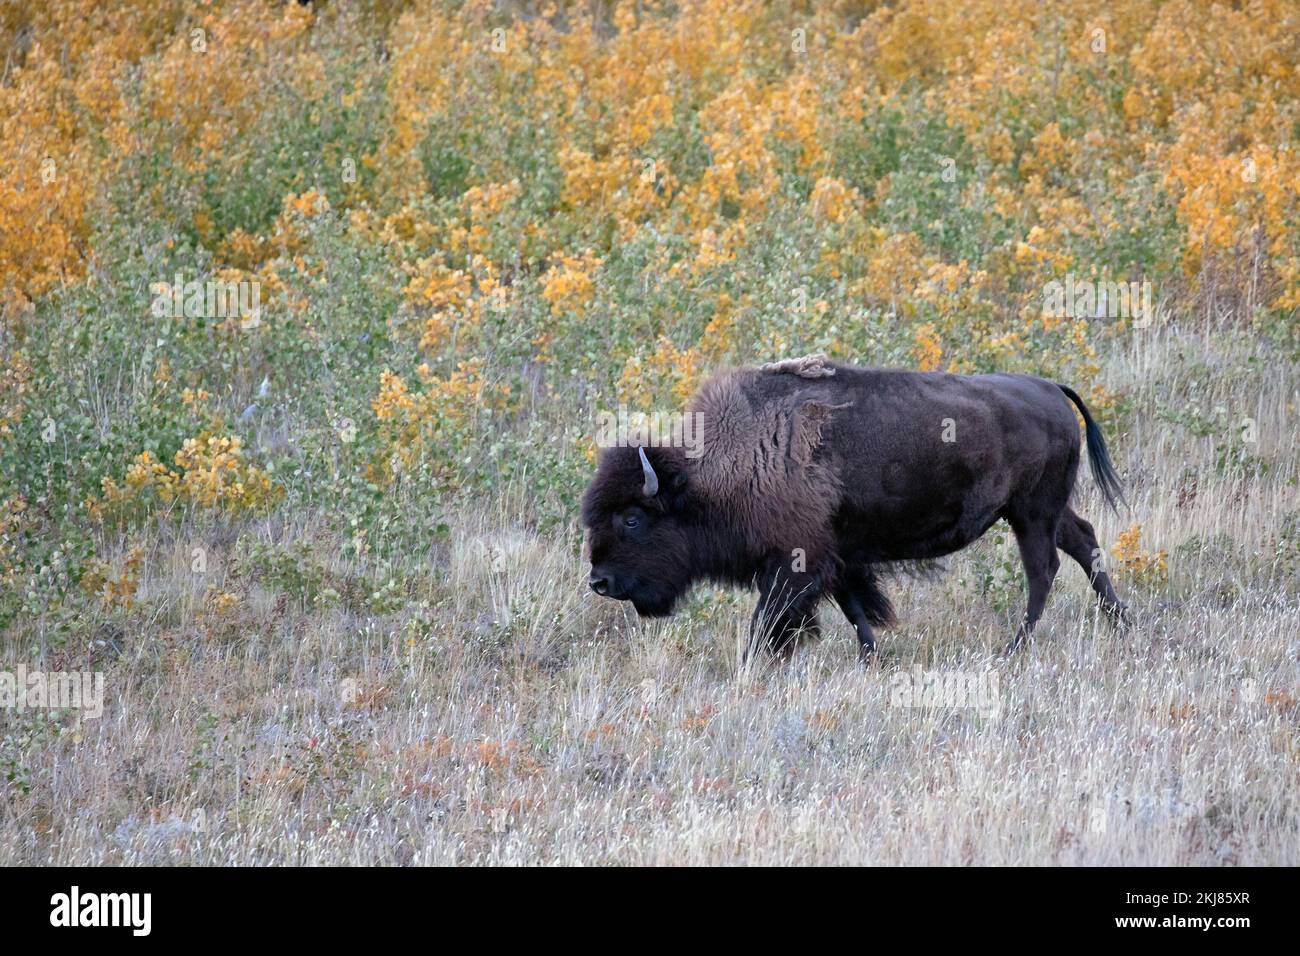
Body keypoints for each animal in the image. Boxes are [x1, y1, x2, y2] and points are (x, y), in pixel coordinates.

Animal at [579, 356, 1128, 660]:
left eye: (632, 518)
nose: (599, 582)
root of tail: (1051, 388)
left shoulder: (795, 564)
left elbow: (767, 623)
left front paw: (751, 666)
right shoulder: (834, 555)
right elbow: (854, 609)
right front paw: (874, 658)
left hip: (1031, 514)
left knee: (1044, 569)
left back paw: (1015, 648)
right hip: (1040, 512)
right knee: (1084, 541)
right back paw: (1122, 622)